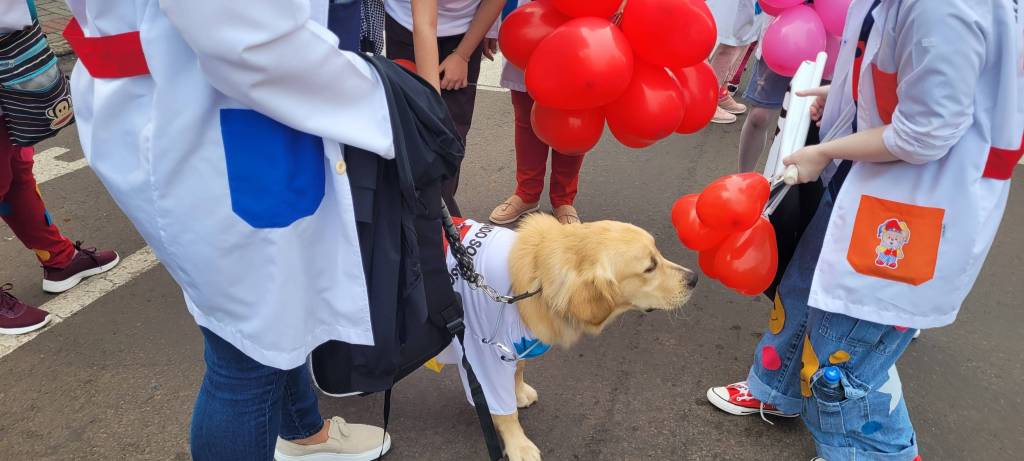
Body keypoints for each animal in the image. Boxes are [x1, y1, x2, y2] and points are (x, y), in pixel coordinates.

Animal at [435, 214, 698, 461]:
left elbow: (518, 369)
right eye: (649, 268)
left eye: (658, 253)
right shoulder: (483, 355)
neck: (537, 280)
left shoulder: (514, 346)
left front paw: (518, 393)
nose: (694, 278)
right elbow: (504, 410)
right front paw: (519, 445)